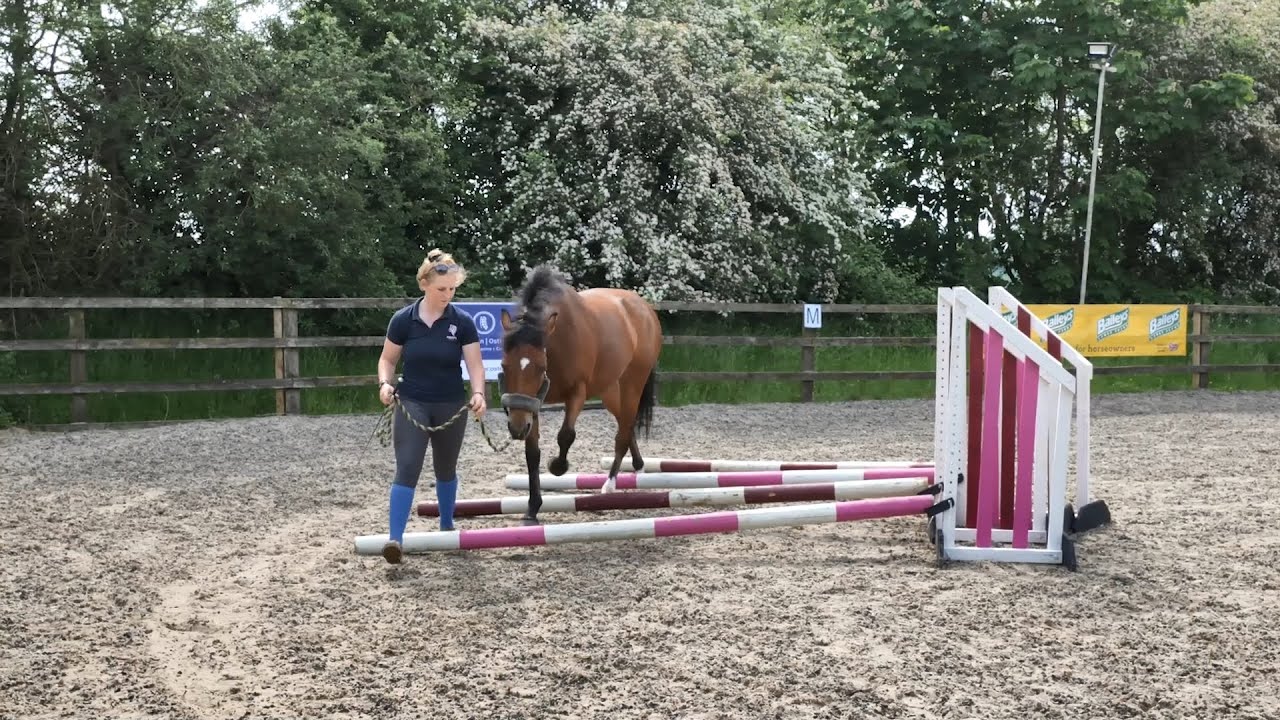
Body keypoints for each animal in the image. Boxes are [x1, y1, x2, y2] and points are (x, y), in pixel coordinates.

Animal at [499, 265, 662, 525]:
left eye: (540, 367)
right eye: (504, 366)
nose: (516, 428)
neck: (557, 341)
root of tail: (644, 308)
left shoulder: (577, 392)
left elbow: (566, 435)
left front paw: (557, 466)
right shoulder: (532, 405)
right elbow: (532, 454)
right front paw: (532, 509)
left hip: (632, 385)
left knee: (623, 432)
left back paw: (610, 484)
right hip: (609, 392)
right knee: (626, 425)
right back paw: (637, 466)